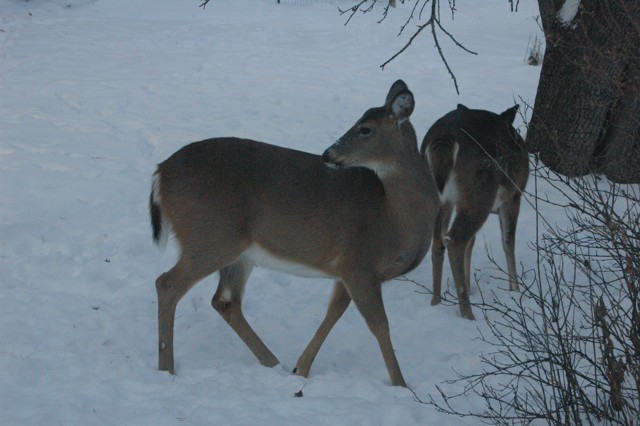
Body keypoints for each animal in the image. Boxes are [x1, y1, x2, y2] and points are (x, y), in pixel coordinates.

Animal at [149, 80, 440, 387]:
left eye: (365, 128)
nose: (327, 154)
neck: (393, 216)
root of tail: (160, 174)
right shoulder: (359, 263)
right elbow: (379, 324)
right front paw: (401, 384)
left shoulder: (348, 269)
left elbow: (333, 312)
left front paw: (301, 369)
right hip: (209, 238)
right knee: (167, 284)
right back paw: (167, 369)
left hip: (238, 253)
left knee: (226, 301)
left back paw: (273, 363)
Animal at [420, 104, 529, 321]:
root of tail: (444, 136)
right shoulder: (513, 196)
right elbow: (508, 242)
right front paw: (515, 290)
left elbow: (472, 244)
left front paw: (470, 288)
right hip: (480, 191)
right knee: (455, 240)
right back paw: (468, 314)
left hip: (442, 198)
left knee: (439, 242)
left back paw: (436, 302)